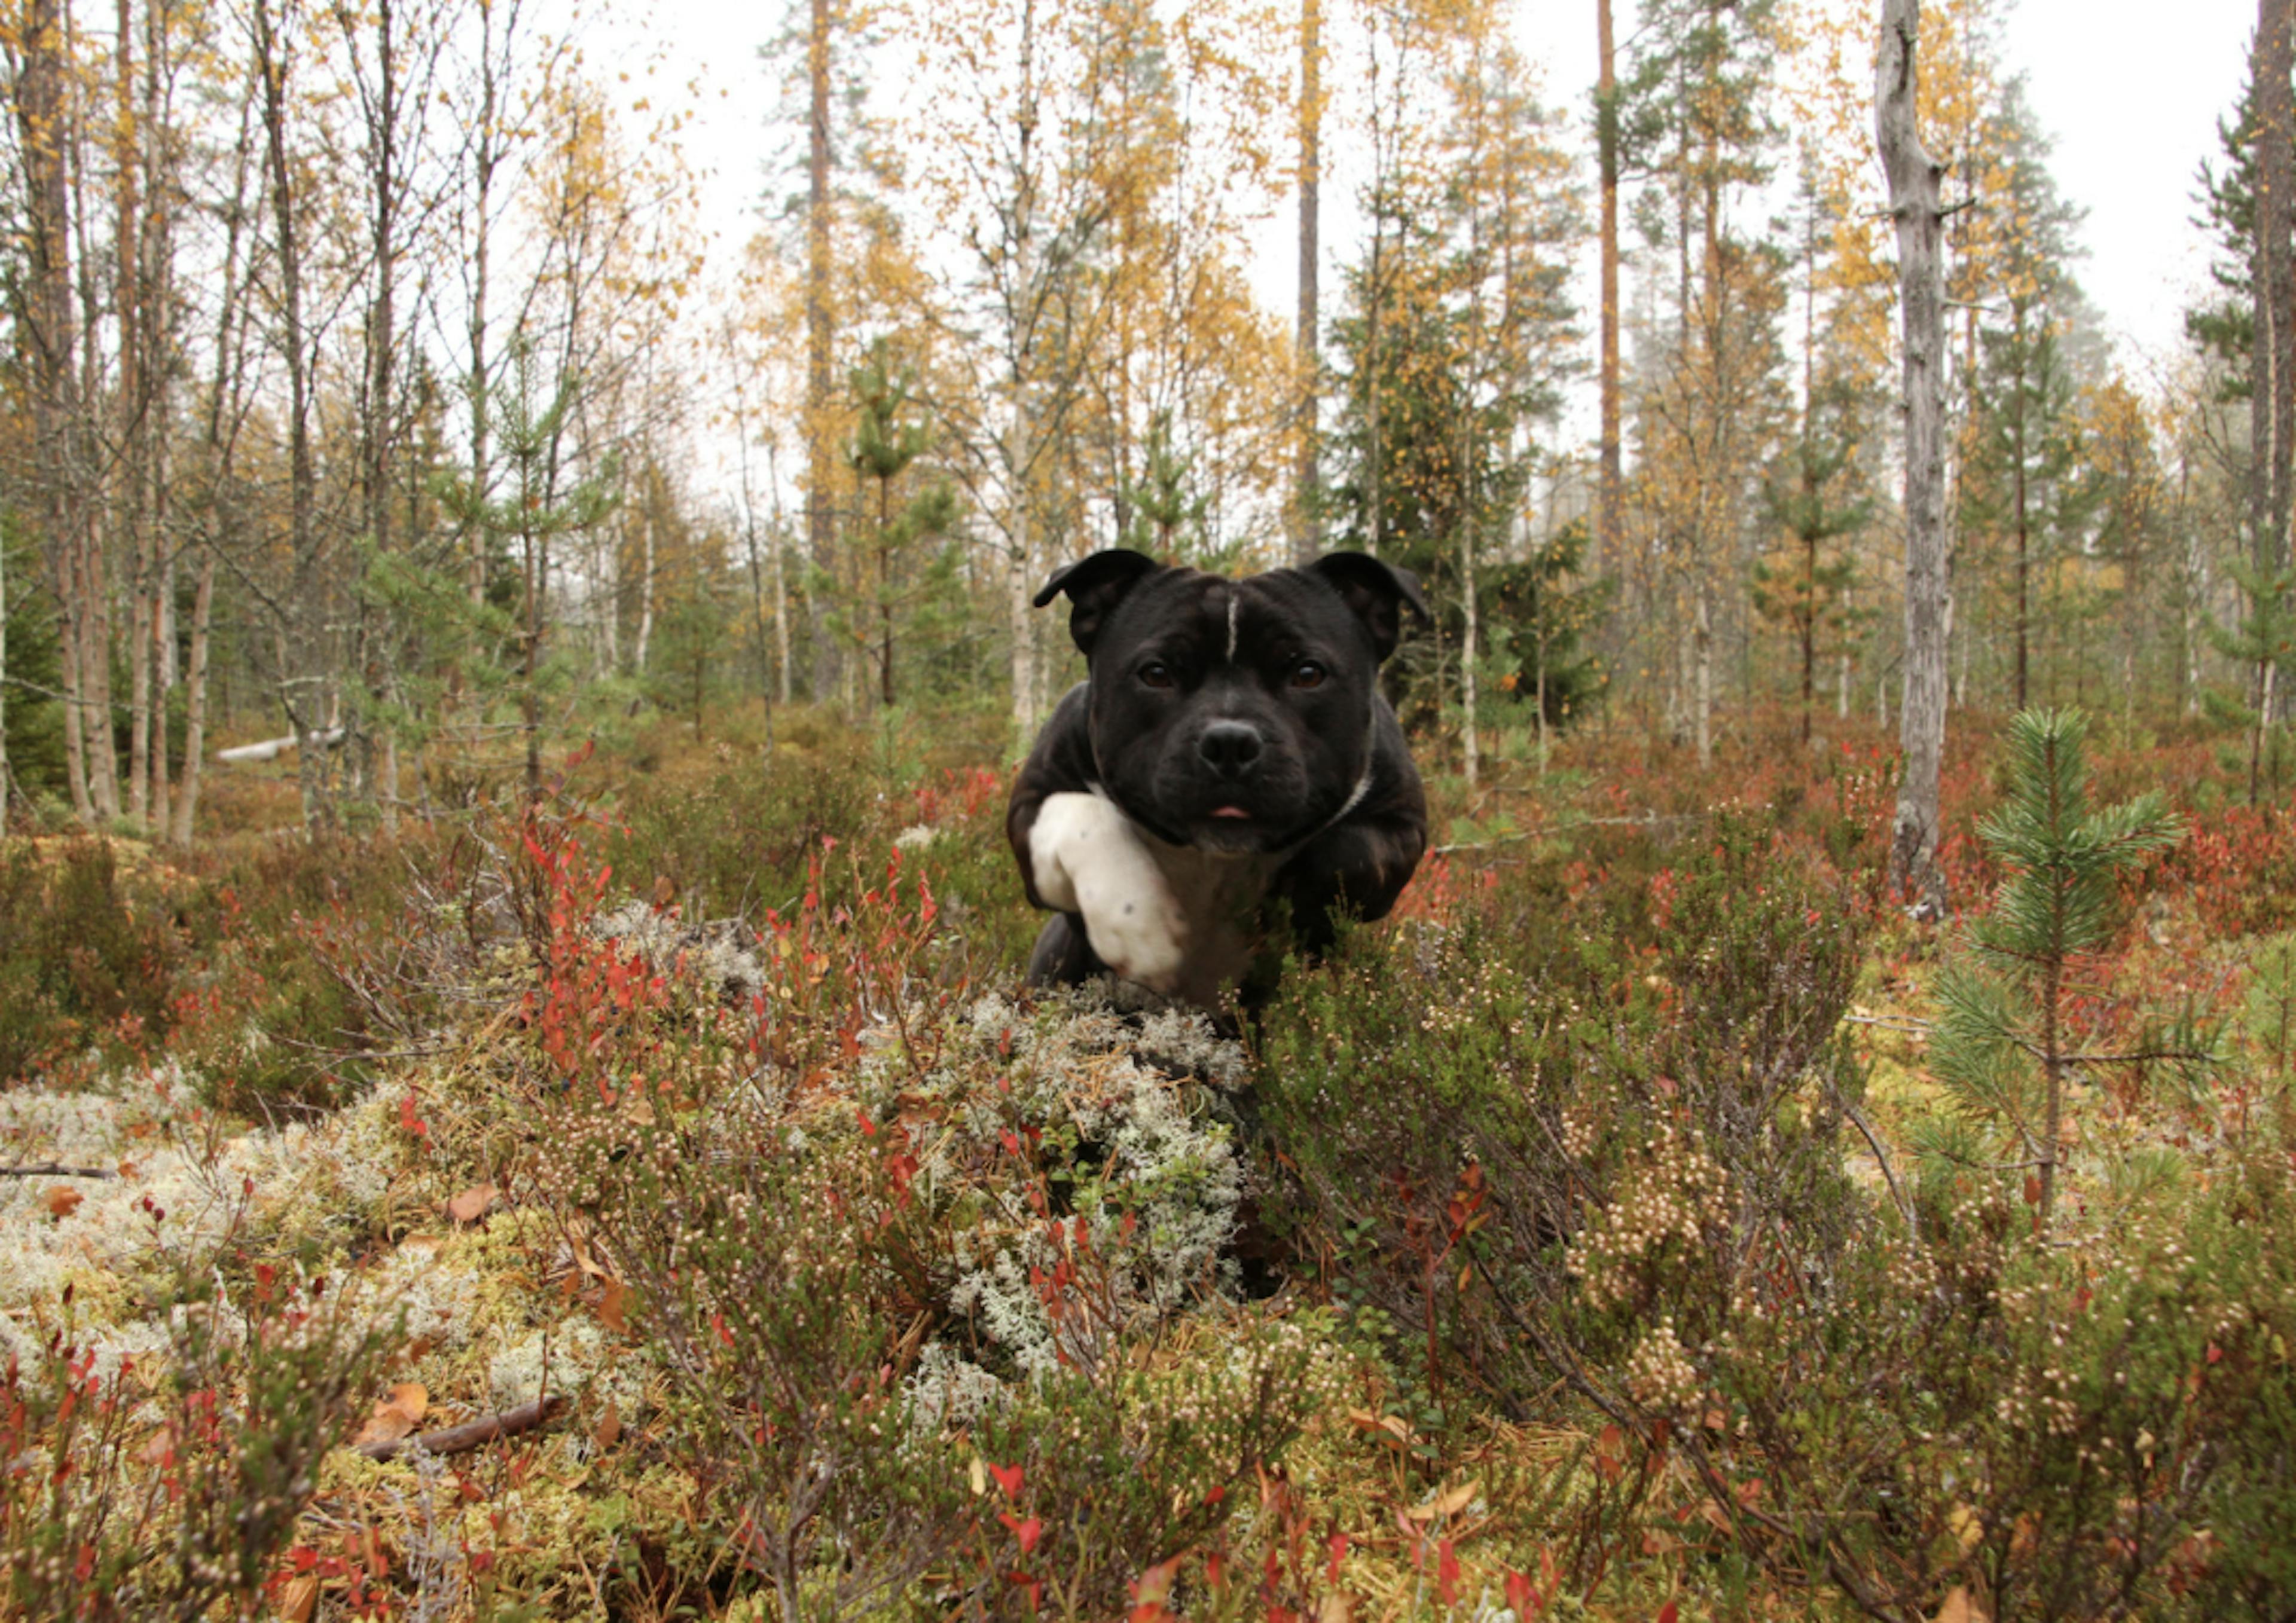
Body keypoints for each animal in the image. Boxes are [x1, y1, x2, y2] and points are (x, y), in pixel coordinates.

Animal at [1010, 548, 1423, 1001]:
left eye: (1308, 674)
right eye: (1156, 673)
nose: (1230, 742)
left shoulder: (1401, 822)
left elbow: (1349, 850)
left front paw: (1293, 906)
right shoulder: (1033, 801)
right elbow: (1082, 814)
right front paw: (1138, 924)